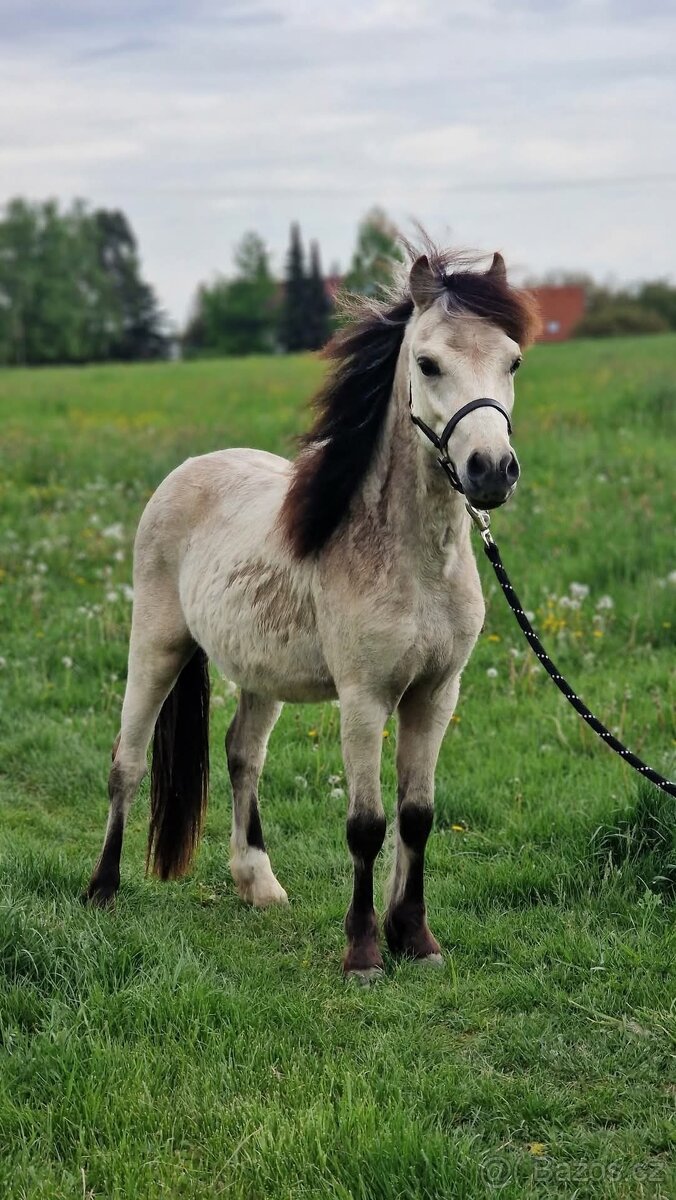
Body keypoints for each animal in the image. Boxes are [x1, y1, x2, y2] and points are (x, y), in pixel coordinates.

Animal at [84, 241, 539, 982]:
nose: (491, 470)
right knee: (126, 760)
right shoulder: (364, 698)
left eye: (513, 360)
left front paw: (415, 939)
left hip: (259, 672)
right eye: (428, 363)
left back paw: (257, 882)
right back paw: (101, 888)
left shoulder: (435, 695)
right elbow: (367, 824)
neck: (411, 560)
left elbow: (417, 816)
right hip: (155, 645)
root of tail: (187, 471)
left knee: (242, 753)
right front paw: (363, 953)